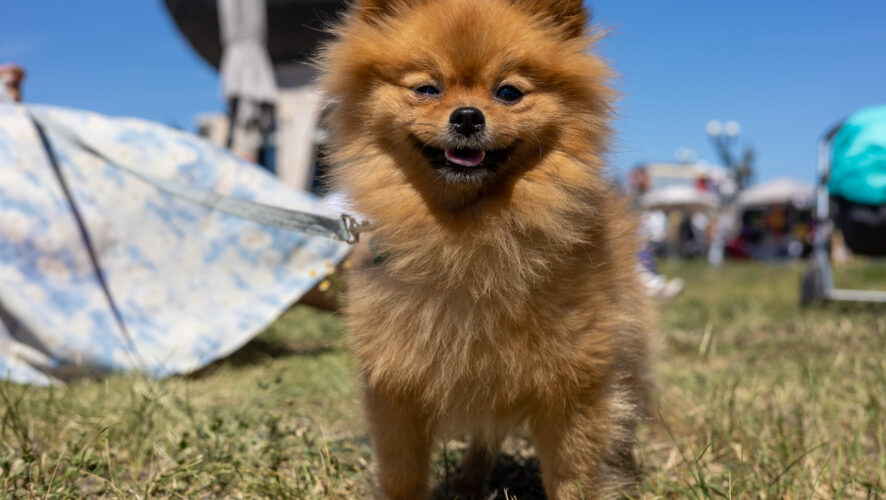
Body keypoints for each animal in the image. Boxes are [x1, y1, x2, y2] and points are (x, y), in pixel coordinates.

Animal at [320, 1, 652, 498]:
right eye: (427, 89)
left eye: (509, 92)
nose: (467, 116)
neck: (466, 238)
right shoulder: (395, 389)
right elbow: (402, 473)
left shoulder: (576, 388)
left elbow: (573, 475)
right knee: (485, 437)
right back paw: (468, 481)